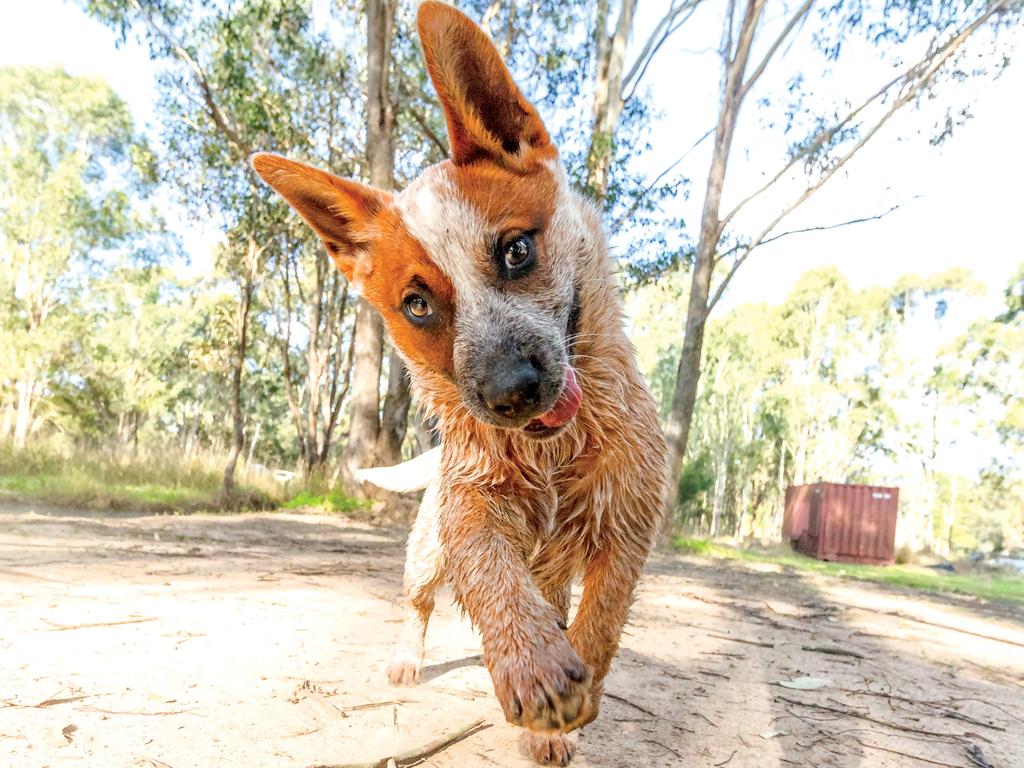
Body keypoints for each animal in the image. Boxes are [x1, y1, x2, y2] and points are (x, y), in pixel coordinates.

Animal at [252, 4, 667, 765]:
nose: (510, 393)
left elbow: (599, 623)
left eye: (517, 249)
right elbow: (493, 579)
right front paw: (531, 665)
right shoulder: (473, 509)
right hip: (425, 547)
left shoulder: (625, 527)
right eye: (417, 305)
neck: (551, 457)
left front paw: (568, 702)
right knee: (420, 601)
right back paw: (408, 658)